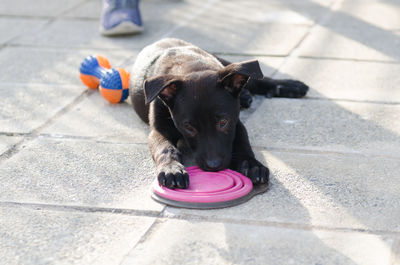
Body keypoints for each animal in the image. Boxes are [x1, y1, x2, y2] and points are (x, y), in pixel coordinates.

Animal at [130, 38, 308, 189]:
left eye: (223, 122)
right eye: (189, 127)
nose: (214, 166)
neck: (191, 66)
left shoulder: (236, 122)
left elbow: (243, 142)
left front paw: (252, 165)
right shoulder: (159, 131)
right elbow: (165, 148)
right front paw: (171, 168)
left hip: (231, 64)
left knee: (257, 79)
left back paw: (288, 86)